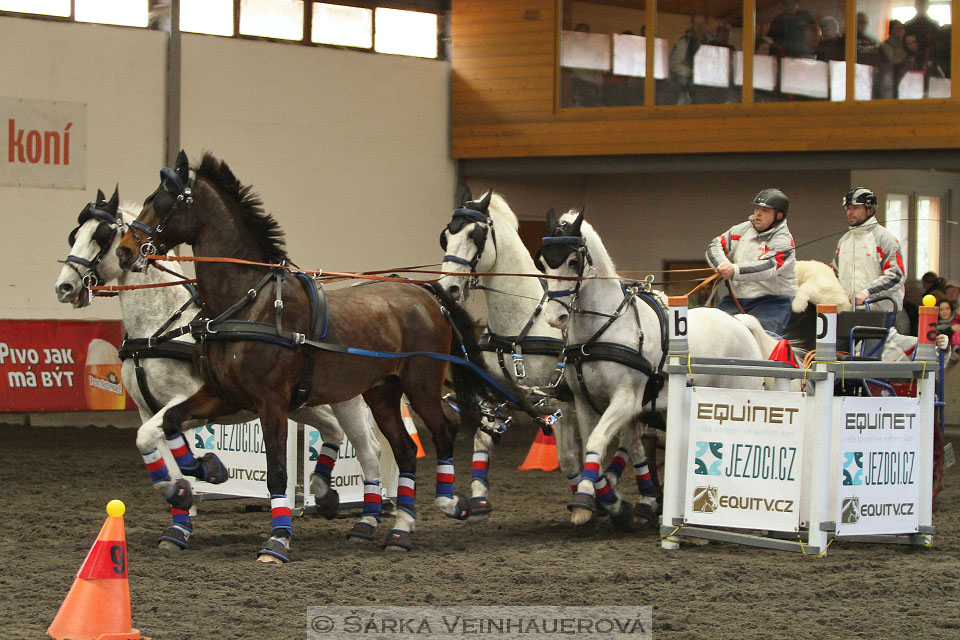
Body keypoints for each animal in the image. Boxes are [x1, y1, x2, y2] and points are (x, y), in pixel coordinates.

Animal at [55, 189, 386, 552]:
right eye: (75, 234)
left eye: (100, 236)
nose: (65, 287)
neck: (159, 328)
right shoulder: (148, 411)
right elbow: (158, 453)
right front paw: (179, 516)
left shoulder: (188, 402)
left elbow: (161, 444)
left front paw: (207, 472)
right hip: (300, 403)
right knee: (332, 430)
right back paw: (326, 495)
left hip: (345, 400)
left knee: (368, 452)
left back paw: (367, 520)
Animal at [117, 151, 488, 560]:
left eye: (163, 201)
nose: (126, 250)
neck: (250, 303)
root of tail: (427, 294)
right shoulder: (223, 395)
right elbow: (169, 423)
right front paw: (201, 473)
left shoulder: (272, 402)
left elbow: (277, 471)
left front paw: (277, 540)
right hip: (382, 392)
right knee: (404, 449)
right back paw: (399, 531)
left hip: (420, 384)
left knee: (442, 432)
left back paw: (449, 504)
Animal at [532, 209, 764, 524]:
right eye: (543, 262)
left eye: (573, 261)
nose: (555, 317)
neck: (604, 329)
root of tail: (739, 322)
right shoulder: (585, 401)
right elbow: (596, 446)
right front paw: (607, 502)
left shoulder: (626, 399)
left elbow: (597, 441)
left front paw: (586, 498)